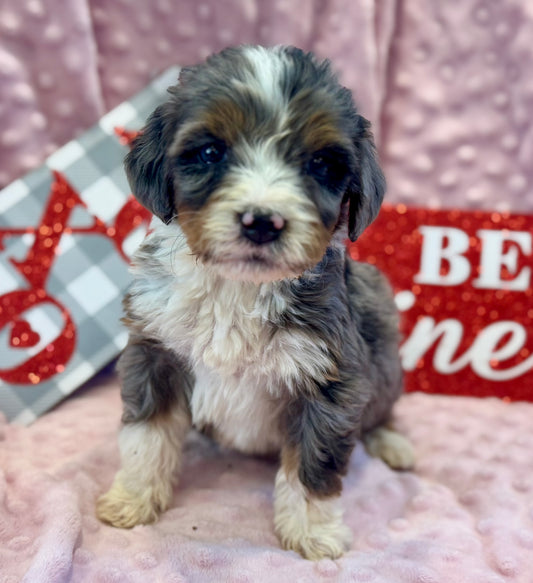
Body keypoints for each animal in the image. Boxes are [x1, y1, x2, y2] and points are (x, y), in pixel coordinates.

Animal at [96, 44, 416, 560]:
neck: (238, 287)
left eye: (320, 163)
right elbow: (147, 436)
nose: (262, 222)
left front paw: (311, 532)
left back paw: (393, 443)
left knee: (381, 406)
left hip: (383, 347)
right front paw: (132, 499)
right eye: (211, 152)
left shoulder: (332, 379)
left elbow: (313, 463)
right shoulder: (154, 351)